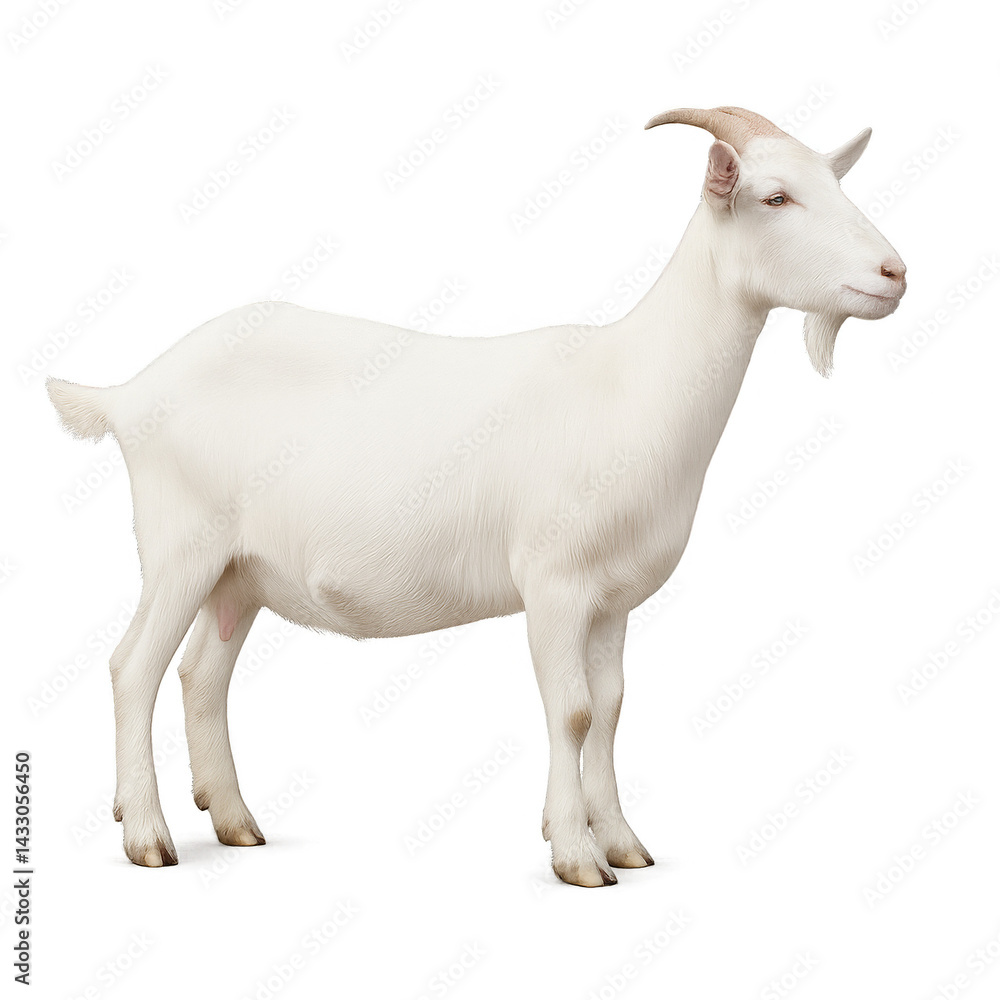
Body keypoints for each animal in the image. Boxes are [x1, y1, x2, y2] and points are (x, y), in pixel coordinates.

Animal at [47, 106, 906, 886]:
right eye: (775, 197)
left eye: (835, 183)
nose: (895, 273)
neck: (632, 381)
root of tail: (128, 393)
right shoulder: (555, 582)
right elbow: (573, 710)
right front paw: (578, 855)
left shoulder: (613, 597)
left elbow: (612, 707)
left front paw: (623, 841)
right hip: (180, 546)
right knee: (133, 668)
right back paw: (148, 837)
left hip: (239, 571)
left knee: (201, 677)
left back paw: (232, 821)